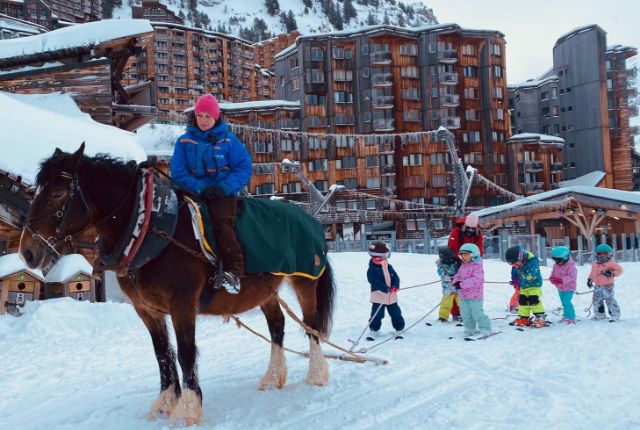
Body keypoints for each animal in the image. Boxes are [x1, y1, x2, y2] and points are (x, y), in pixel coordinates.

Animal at [18, 143, 338, 424]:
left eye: (58, 192)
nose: (27, 251)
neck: (149, 228)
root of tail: (309, 218)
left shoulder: (182, 304)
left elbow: (185, 353)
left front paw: (188, 408)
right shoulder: (147, 310)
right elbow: (162, 354)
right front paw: (165, 402)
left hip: (305, 281)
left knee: (311, 325)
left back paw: (316, 373)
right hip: (266, 289)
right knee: (277, 326)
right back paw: (273, 377)